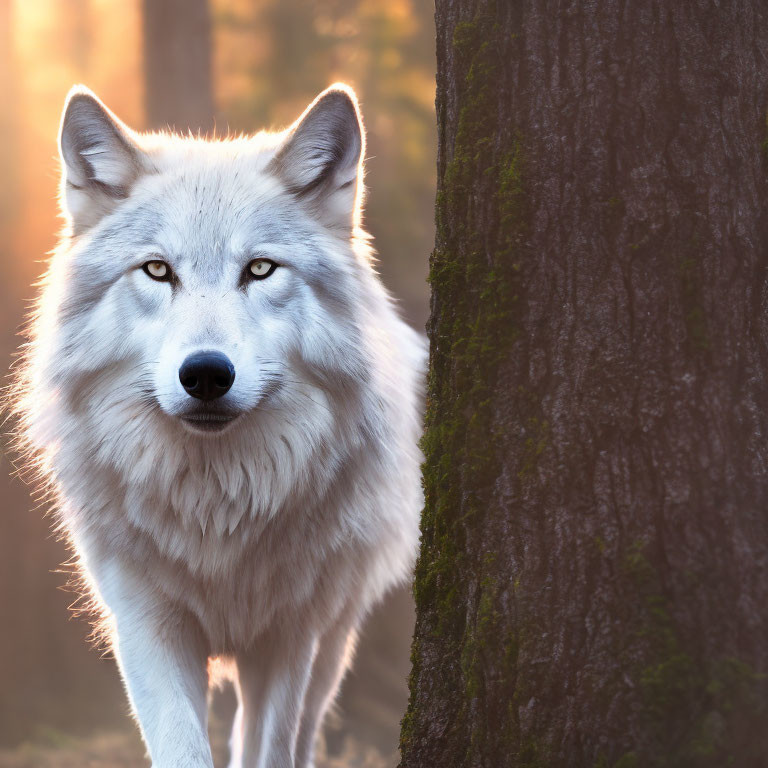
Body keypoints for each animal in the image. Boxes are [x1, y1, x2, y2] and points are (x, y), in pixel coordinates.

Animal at [12, 84, 424, 768]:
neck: (216, 510)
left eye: (260, 269)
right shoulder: (147, 625)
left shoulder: (289, 636)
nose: (206, 373)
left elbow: (270, 746)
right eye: (157, 270)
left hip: (333, 638)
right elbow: (182, 746)